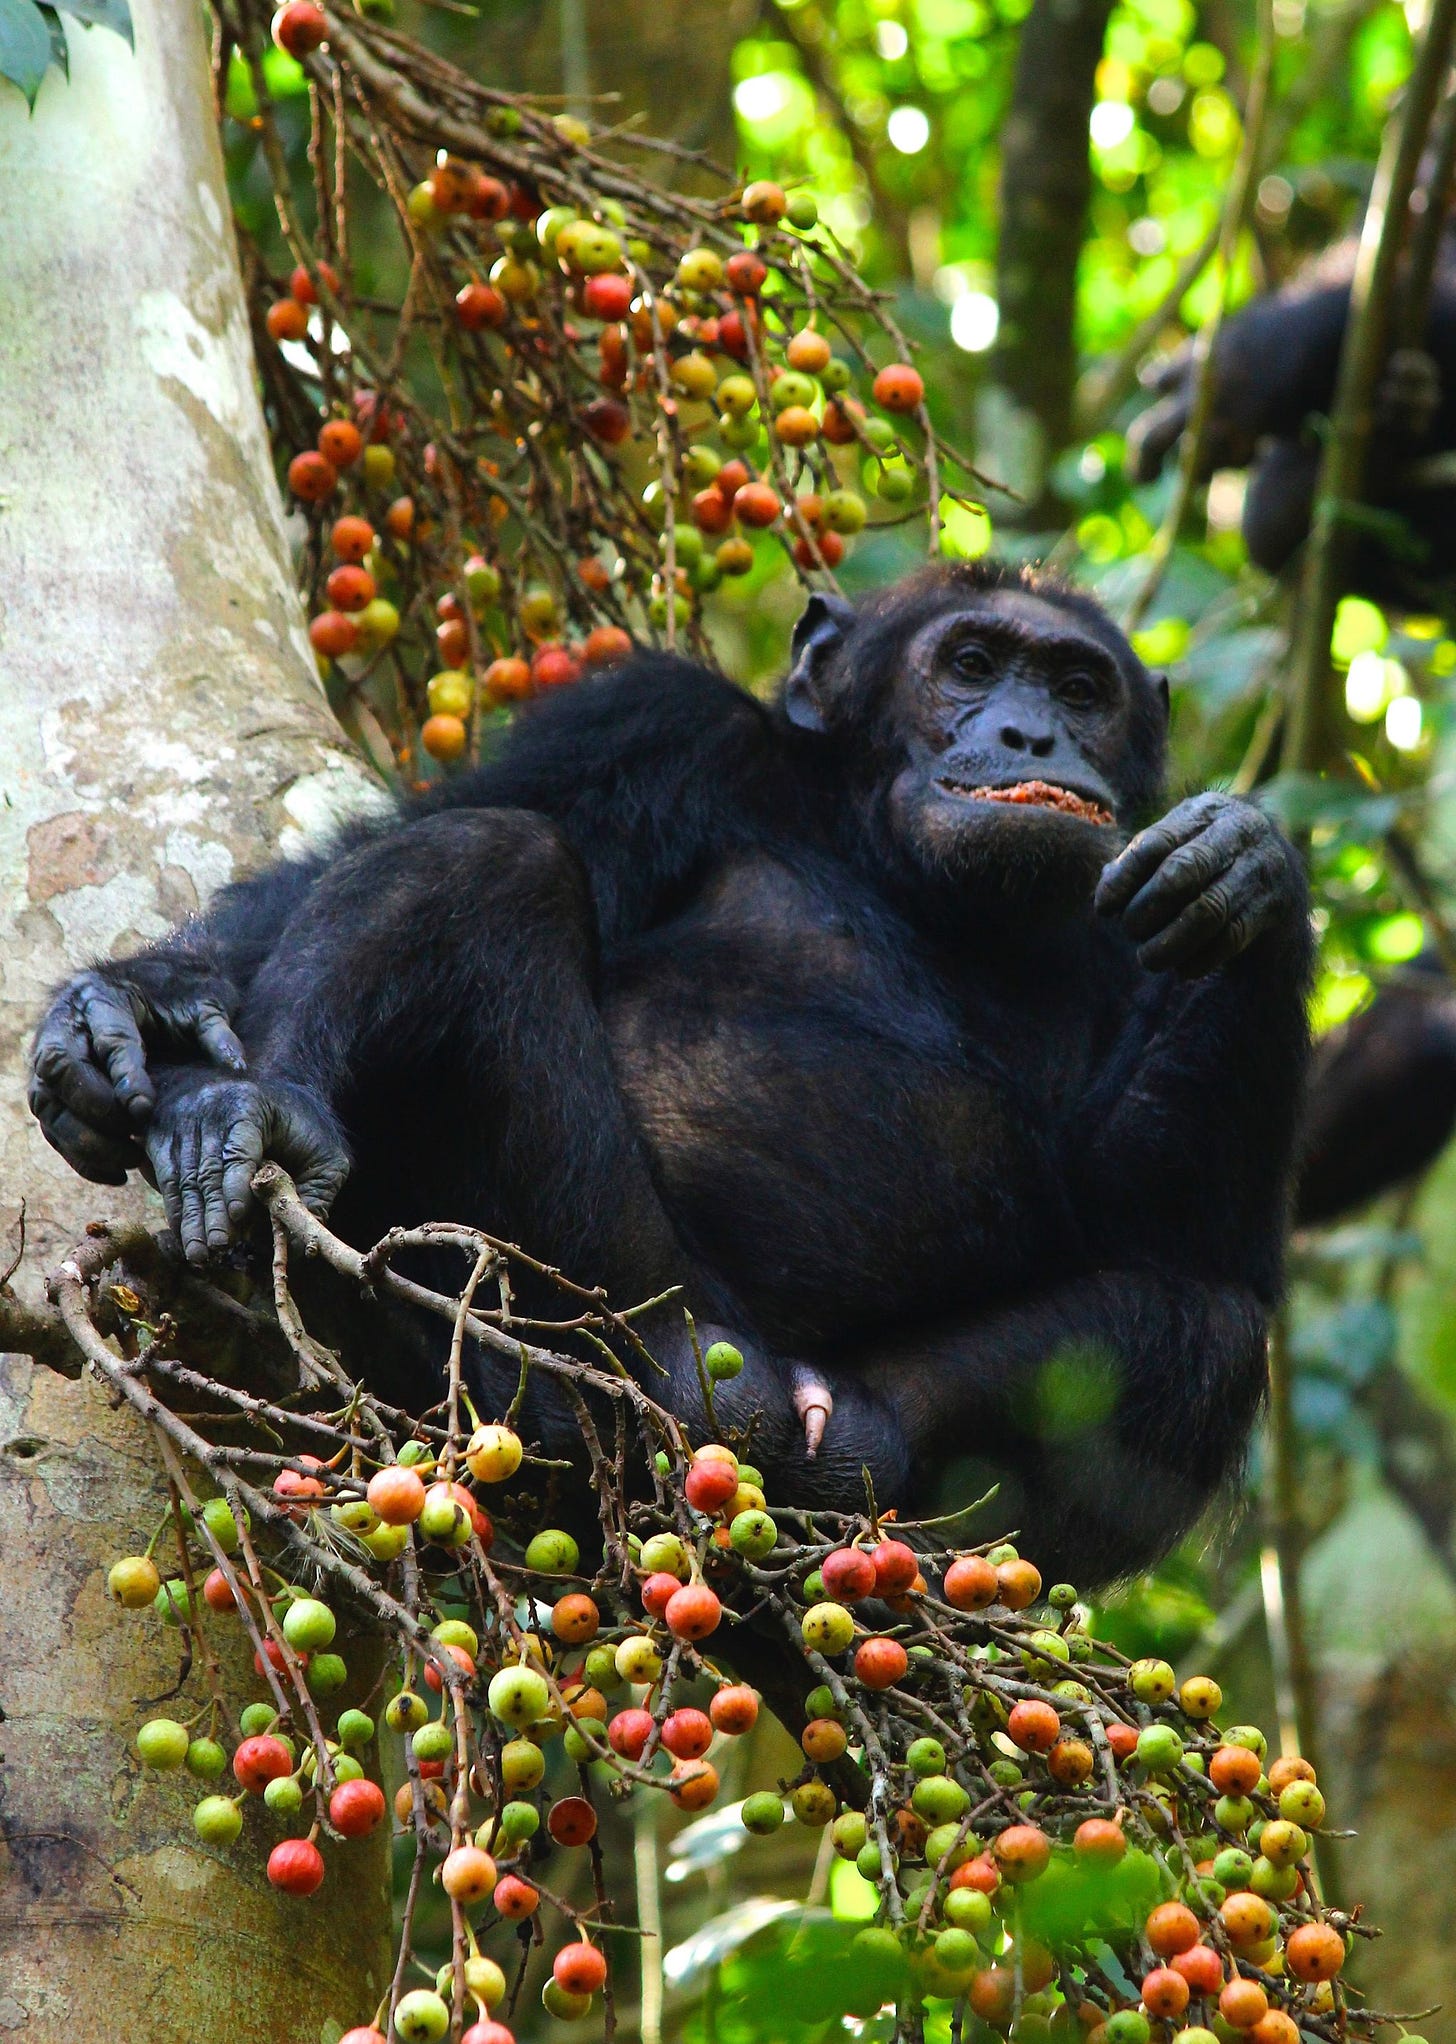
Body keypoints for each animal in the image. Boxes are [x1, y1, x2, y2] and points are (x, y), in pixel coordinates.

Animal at [28, 568, 1316, 1586]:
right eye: (972, 662)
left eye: (1080, 689)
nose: (1029, 737)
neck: (891, 862)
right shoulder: (647, 725)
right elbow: (428, 837)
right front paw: (133, 1016)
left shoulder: (1124, 924)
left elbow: (1163, 1220)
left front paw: (1244, 871)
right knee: (481, 857)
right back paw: (274, 1127)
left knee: (1203, 1329)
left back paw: (855, 1452)